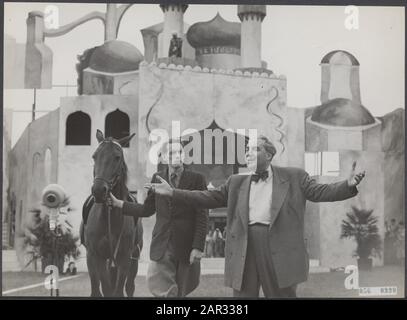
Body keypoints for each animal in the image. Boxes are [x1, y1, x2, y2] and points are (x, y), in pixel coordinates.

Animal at [80, 130, 143, 298]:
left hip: (133, 259)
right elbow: (106, 289)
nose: (98, 190)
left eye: (117, 157)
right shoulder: (98, 257)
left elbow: (118, 291)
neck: (109, 216)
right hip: (92, 259)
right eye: (95, 156)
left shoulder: (124, 258)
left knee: (130, 287)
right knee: (96, 289)